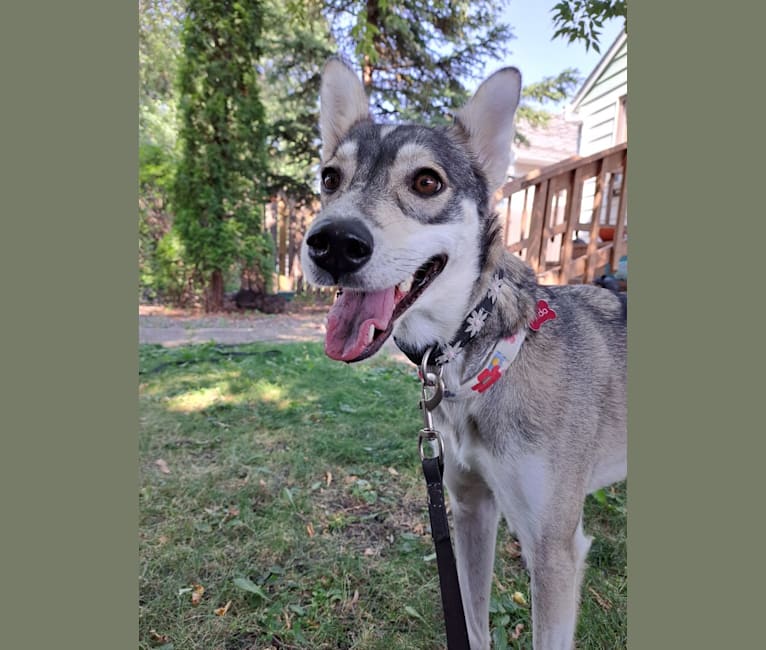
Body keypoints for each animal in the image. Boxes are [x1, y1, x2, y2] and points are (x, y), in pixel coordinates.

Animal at [298, 57, 624, 648]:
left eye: (427, 181)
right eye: (329, 178)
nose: (333, 243)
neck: (485, 356)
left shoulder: (554, 550)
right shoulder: (470, 507)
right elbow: (473, 621)